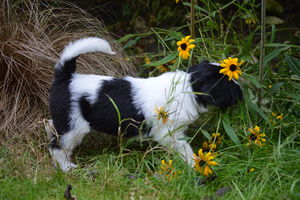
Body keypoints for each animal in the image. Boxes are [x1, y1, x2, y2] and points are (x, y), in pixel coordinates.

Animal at [48, 36, 243, 171]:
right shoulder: (169, 133)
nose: (242, 93)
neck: (188, 87)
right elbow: (184, 149)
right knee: (58, 147)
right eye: (229, 83)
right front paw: (194, 164)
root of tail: (67, 77)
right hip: (72, 126)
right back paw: (66, 168)